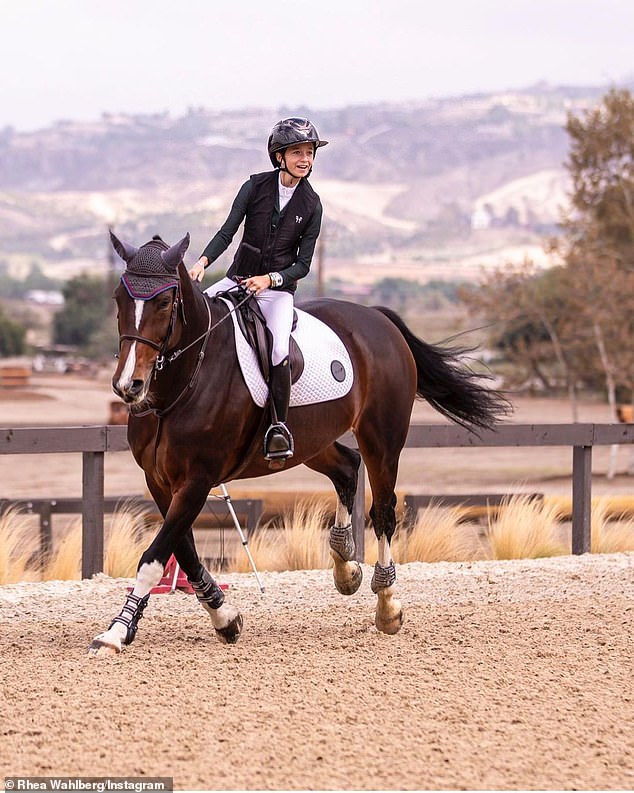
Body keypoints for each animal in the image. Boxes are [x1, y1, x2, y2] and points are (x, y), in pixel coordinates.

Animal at [89, 232, 506, 652]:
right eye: (118, 298)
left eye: (163, 302)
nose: (128, 386)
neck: (184, 381)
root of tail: (376, 318)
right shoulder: (160, 481)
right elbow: (184, 552)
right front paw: (226, 618)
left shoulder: (197, 480)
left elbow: (154, 557)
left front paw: (117, 630)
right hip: (311, 442)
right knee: (347, 469)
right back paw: (345, 565)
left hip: (382, 439)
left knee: (384, 510)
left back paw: (386, 604)